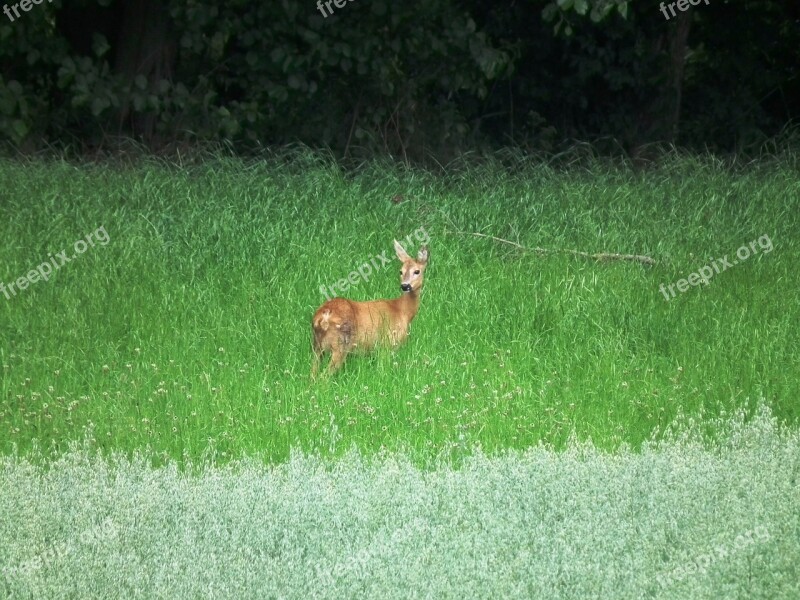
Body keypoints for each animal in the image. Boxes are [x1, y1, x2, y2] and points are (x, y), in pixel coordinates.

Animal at [310, 240, 428, 378]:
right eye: (401, 271)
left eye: (417, 271)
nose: (405, 286)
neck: (402, 311)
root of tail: (322, 317)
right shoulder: (388, 343)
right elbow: (383, 369)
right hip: (340, 345)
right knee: (323, 377)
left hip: (317, 346)